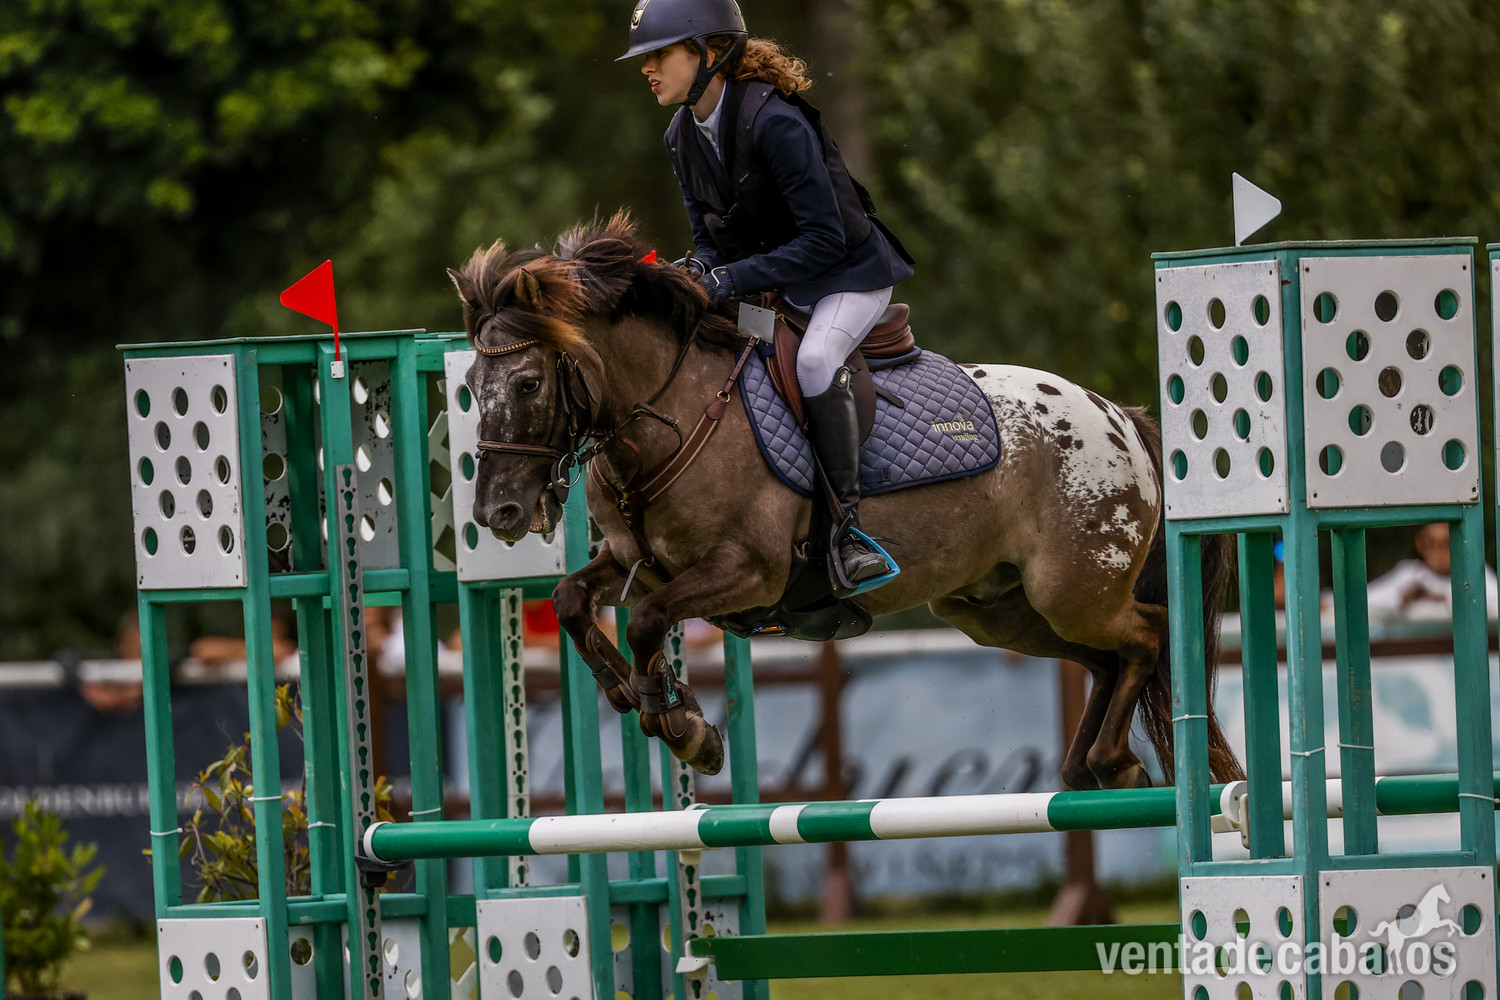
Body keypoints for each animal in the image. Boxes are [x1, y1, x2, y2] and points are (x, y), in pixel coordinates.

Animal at [447, 212, 1242, 791]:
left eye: (527, 384)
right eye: (472, 390)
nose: (497, 515)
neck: (672, 413)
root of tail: (1120, 418)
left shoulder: (748, 572)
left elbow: (645, 620)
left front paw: (684, 727)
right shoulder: (636, 560)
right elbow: (574, 602)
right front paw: (640, 700)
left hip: (1071, 590)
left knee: (1148, 635)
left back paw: (1113, 761)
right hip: (998, 610)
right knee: (1107, 660)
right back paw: (1096, 766)